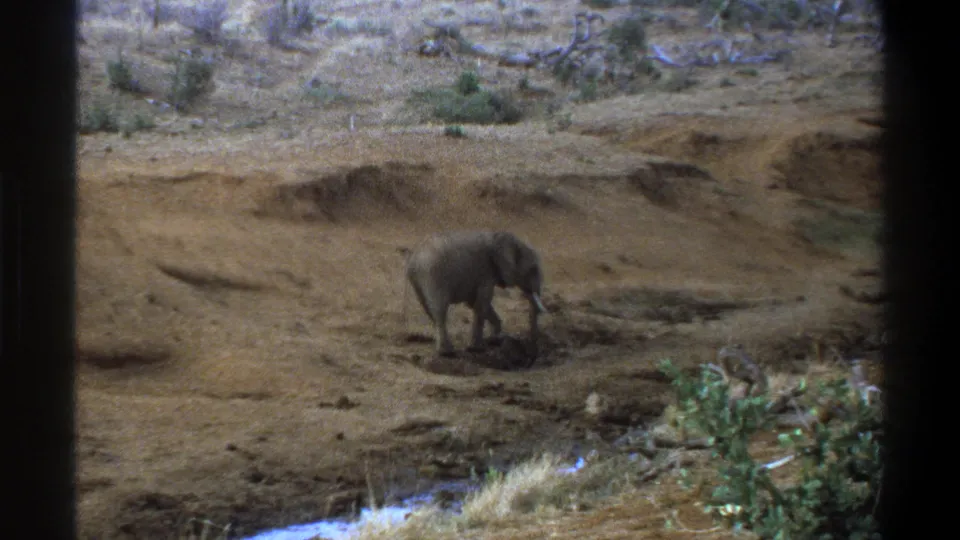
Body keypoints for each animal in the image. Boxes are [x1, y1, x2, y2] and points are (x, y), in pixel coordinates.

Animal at [404, 230, 548, 358]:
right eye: (533, 269)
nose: (533, 346)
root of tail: (415, 257)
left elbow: (475, 303)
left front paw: (495, 339)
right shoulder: (486, 271)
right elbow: (482, 302)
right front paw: (477, 349)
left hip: (417, 279)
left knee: (429, 310)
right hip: (434, 275)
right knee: (440, 311)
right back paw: (447, 353)